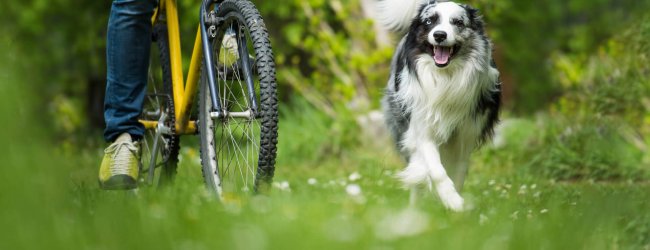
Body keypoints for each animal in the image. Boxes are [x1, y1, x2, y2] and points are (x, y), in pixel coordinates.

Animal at [374, 0, 502, 211]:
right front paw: (452, 200)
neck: (445, 77)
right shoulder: (422, 130)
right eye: (429, 21)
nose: (440, 35)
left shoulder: (465, 138)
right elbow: (436, 171)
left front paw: (454, 205)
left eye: (457, 22)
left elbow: (458, 174)